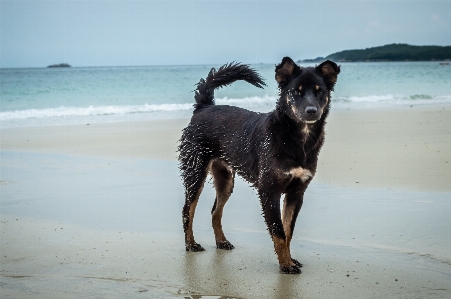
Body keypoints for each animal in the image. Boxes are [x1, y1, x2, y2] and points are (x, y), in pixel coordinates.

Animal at [178, 57, 340, 276]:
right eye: (296, 92)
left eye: (320, 91)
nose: (311, 111)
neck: (295, 138)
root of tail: (203, 107)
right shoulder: (269, 191)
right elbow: (278, 231)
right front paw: (286, 264)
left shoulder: (296, 194)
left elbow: (288, 231)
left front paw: (290, 259)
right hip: (195, 172)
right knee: (188, 210)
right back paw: (191, 244)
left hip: (225, 180)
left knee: (215, 211)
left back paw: (221, 241)